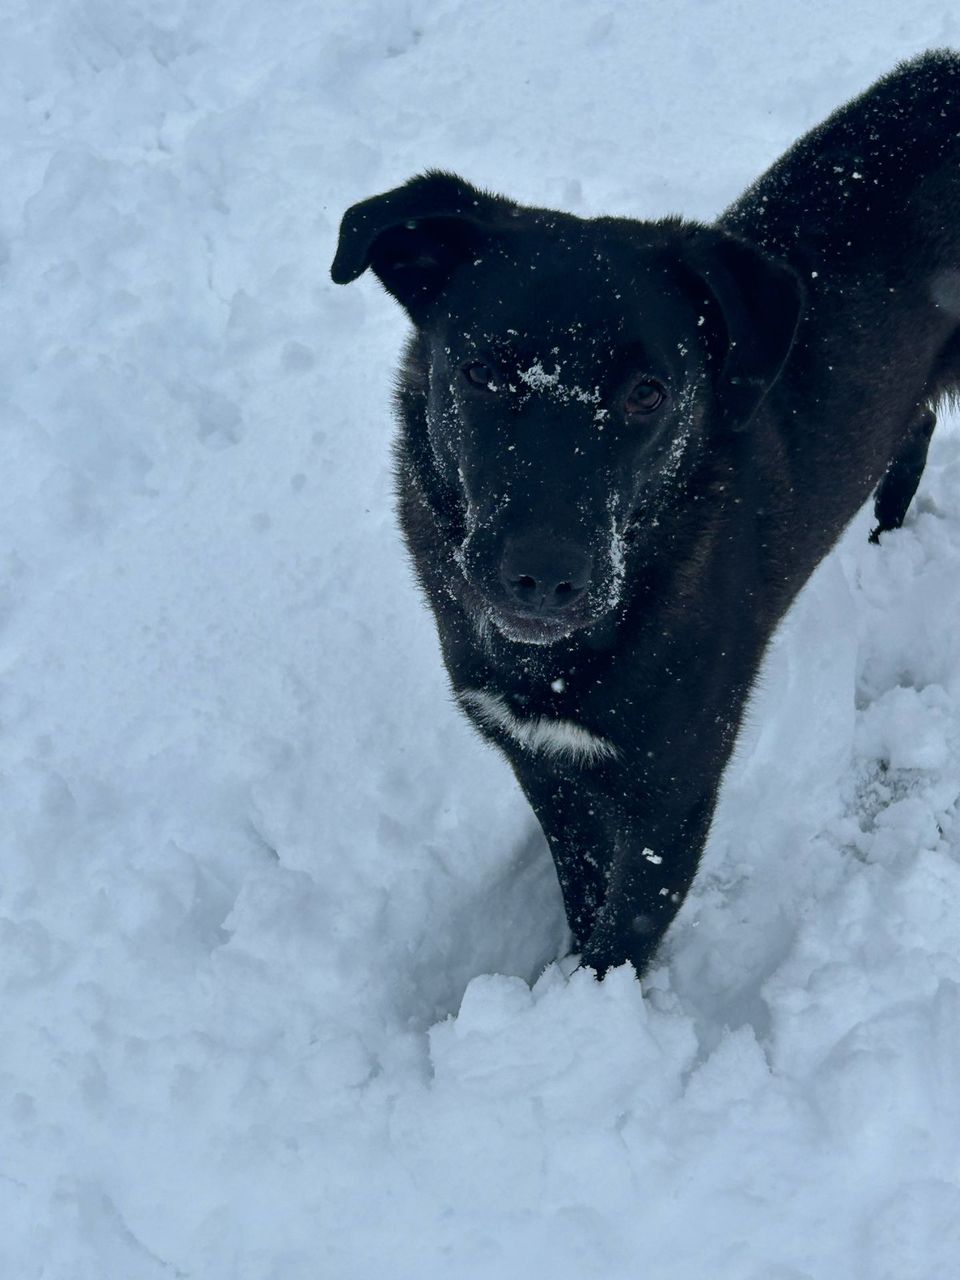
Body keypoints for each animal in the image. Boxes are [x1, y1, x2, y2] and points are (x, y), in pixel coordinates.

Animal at [331, 51, 960, 976]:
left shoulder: (677, 786)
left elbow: (623, 930)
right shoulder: (544, 763)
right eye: (481, 373)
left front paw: (588, 1006)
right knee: (911, 427)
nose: (543, 577)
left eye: (648, 393)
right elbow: (580, 889)